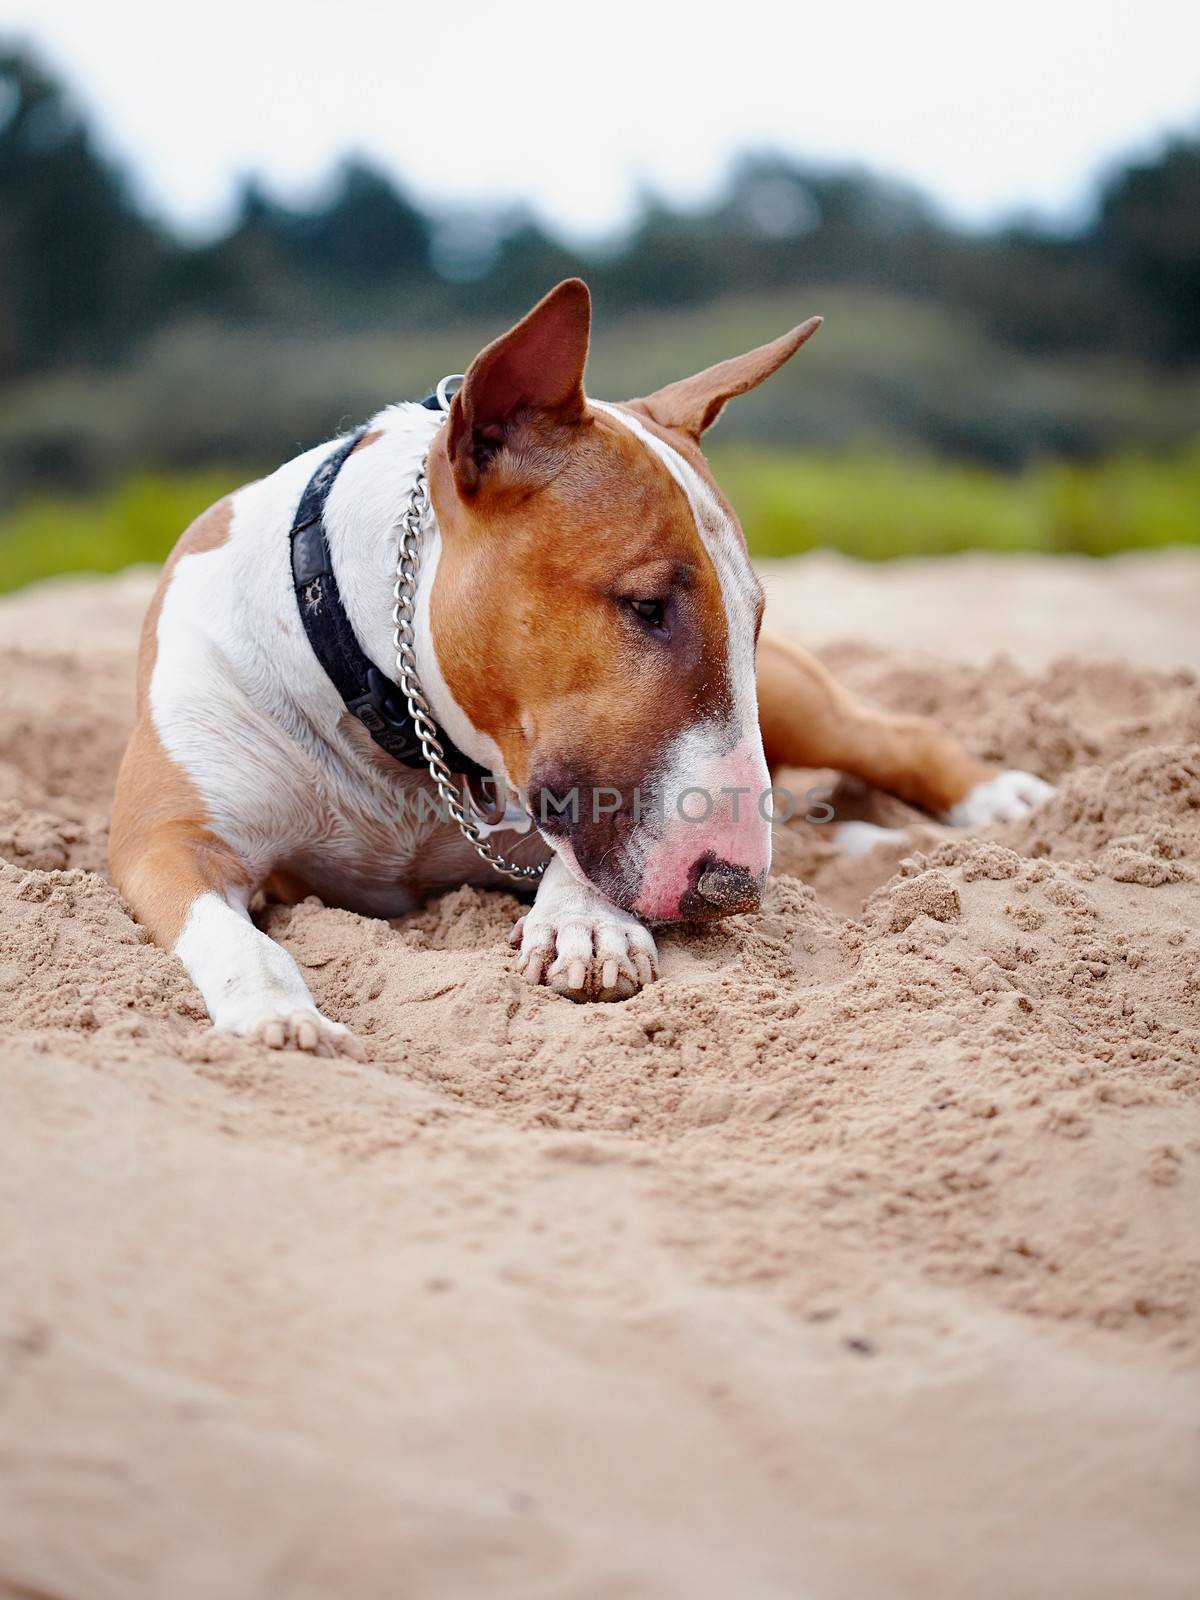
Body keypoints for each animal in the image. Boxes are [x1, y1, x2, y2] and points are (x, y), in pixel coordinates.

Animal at [112, 284, 1049, 1062]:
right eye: (645, 605)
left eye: (753, 616)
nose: (735, 889)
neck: (400, 731)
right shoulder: (166, 840)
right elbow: (236, 934)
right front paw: (278, 1017)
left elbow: (579, 848)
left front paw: (584, 925)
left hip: (792, 702)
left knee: (896, 734)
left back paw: (999, 801)